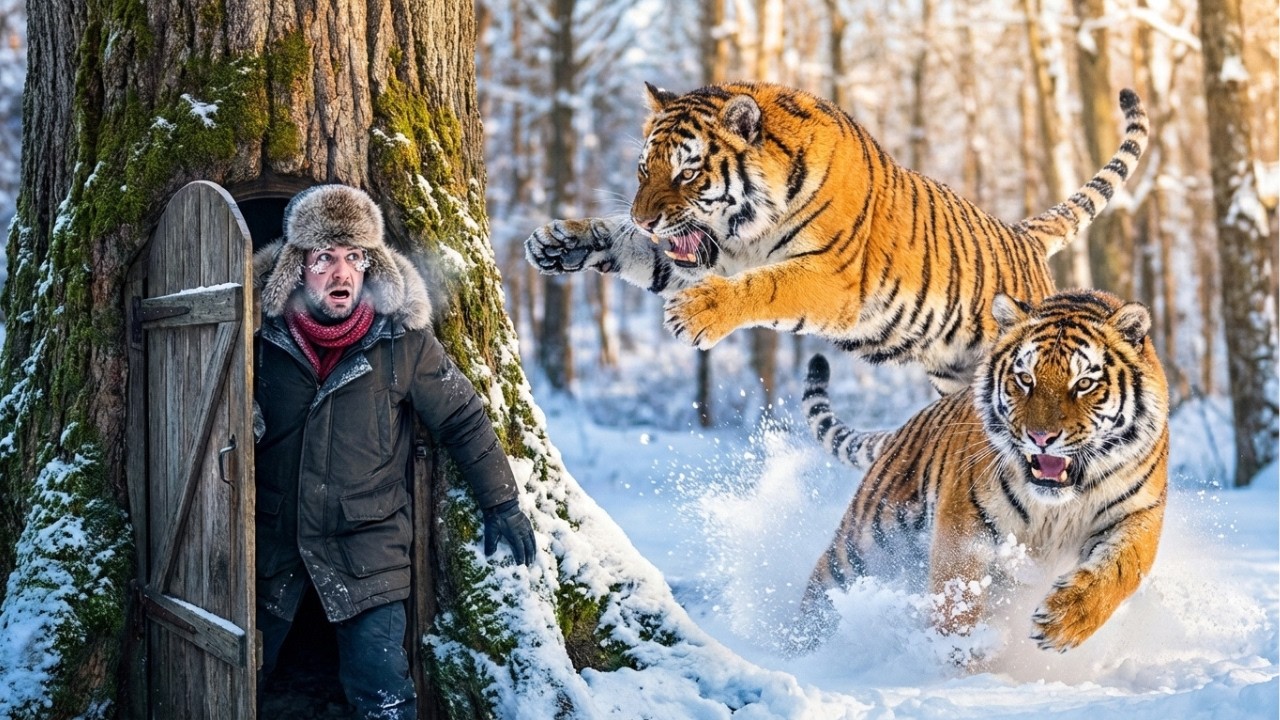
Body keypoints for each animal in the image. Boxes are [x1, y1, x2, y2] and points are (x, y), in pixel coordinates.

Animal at [525, 81, 1149, 394]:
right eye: (642, 171)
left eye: (687, 173)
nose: (645, 219)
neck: (745, 232)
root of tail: (1023, 235)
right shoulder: (703, 255)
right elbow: (634, 253)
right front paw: (560, 240)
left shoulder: (831, 279)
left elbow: (768, 286)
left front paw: (698, 313)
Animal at [796, 288, 1169, 655]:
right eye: (1025, 379)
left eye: (1084, 383)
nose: (1040, 437)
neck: (1056, 507)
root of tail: (902, 428)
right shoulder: (964, 523)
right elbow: (957, 588)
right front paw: (958, 651)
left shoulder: (1138, 514)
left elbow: (1119, 571)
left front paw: (1063, 621)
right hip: (864, 546)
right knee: (821, 590)